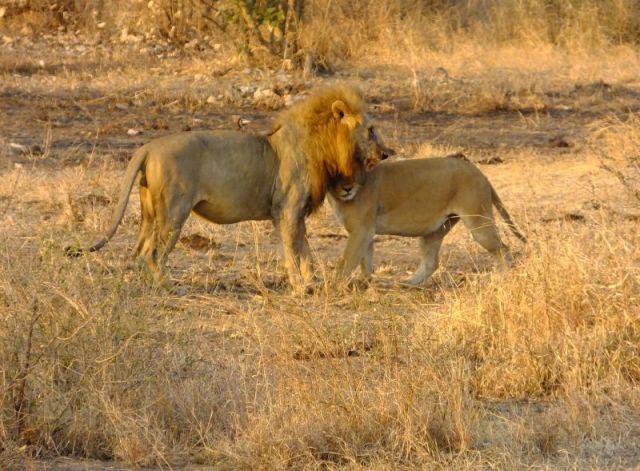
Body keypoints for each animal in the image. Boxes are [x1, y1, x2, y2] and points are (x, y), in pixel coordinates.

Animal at [66, 85, 394, 291]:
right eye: (371, 130)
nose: (387, 153)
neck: (322, 144)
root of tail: (147, 147)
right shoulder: (287, 210)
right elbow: (293, 251)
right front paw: (301, 288)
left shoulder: (295, 214)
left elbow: (305, 252)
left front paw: (310, 283)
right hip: (174, 211)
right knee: (153, 252)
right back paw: (168, 286)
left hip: (150, 211)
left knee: (137, 251)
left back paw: (144, 284)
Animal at [328, 155, 527, 285]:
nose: (347, 188)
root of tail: (480, 174)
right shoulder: (365, 232)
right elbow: (365, 261)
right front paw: (366, 283)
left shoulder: (361, 230)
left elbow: (346, 262)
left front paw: (333, 287)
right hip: (433, 231)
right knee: (431, 263)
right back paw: (407, 283)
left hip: (478, 221)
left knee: (503, 249)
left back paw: (501, 278)